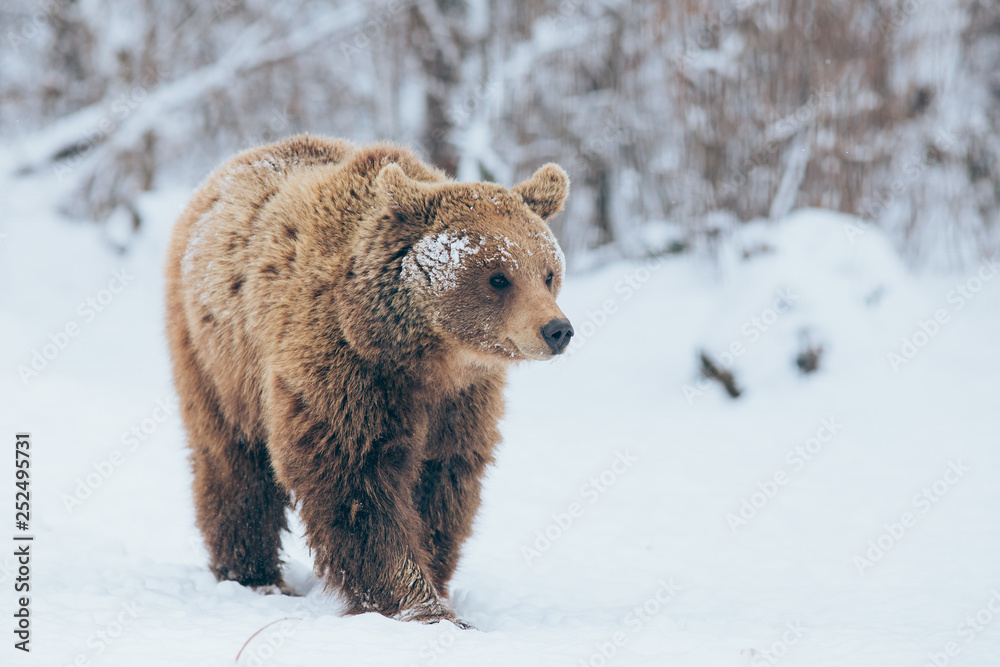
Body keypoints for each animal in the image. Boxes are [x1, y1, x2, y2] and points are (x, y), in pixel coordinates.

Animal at [164, 134, 573, 626]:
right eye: (498, 277)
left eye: (548, 273)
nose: (557, 330)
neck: (422, 355)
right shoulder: (345, 372)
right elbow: (355, 483)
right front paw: (420, 605)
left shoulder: (461, 402)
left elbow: (442, 484)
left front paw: (435, 581)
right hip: (216, 357)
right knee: (232, 463)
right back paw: (253, 574)